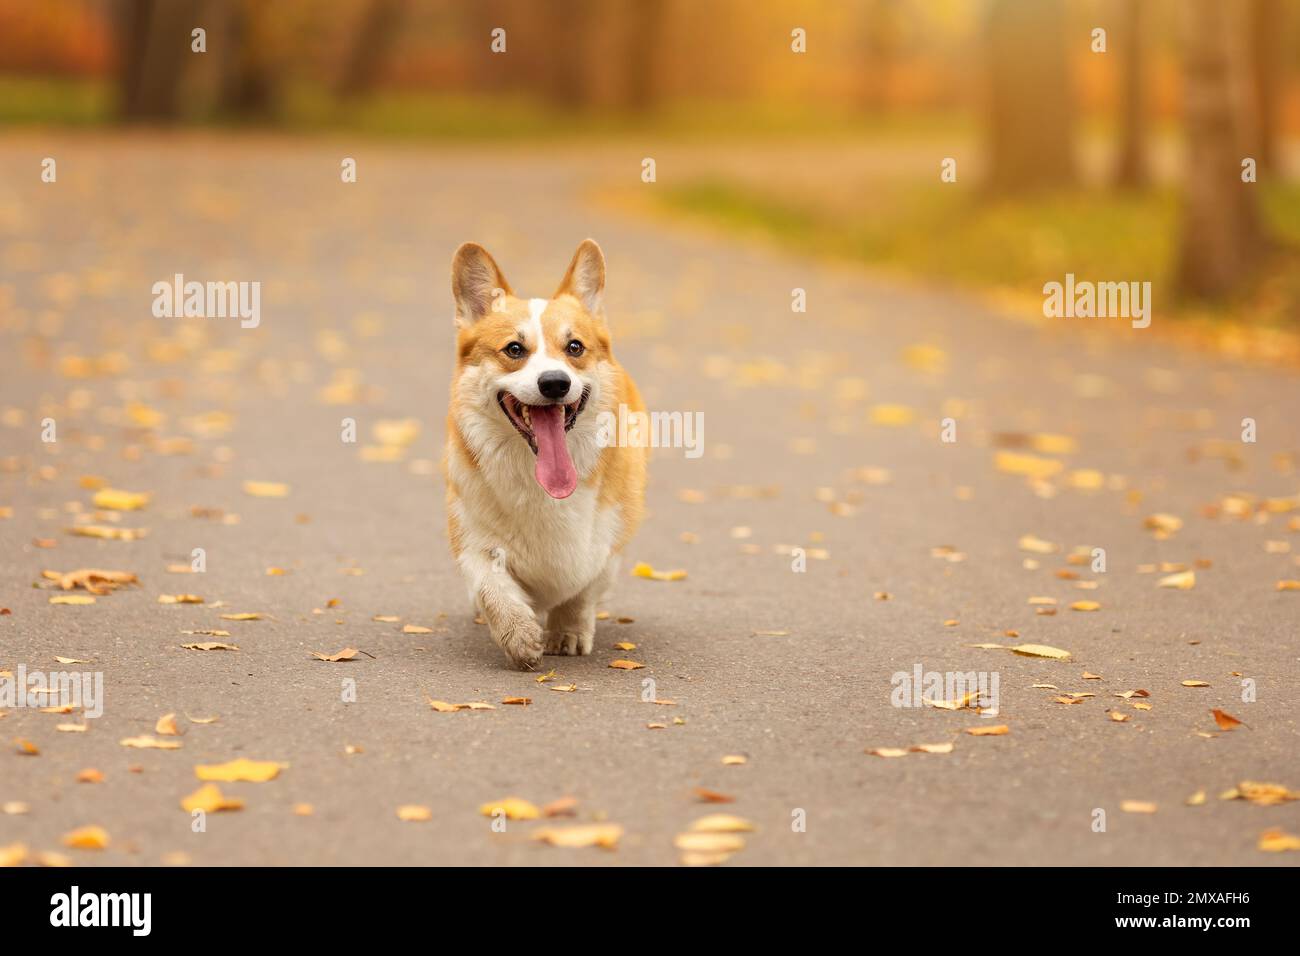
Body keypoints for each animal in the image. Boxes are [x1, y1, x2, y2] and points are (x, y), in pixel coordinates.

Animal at [444, 243, 647, 671]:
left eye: (575, 348)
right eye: (514, 349)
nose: (554, 383)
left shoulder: (607, 543)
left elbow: (582, 588)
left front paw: (566, 632)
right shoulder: (472, 538)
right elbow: (492, 586)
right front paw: (519, 636)